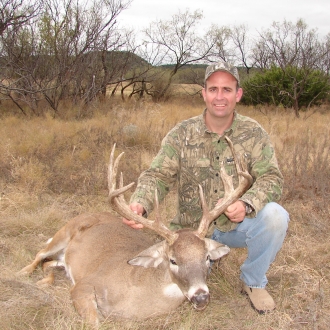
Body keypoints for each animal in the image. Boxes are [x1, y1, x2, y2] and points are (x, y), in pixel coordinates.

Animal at [18, 137, 253, 328]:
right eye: (173, 260)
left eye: (206, 257)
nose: (201, 297)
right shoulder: (84, 286)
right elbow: (94, 322)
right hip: (64, 232)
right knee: (40, 254)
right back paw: (23, 273)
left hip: (63, 257)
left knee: (50, 263)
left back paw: (43, 280)